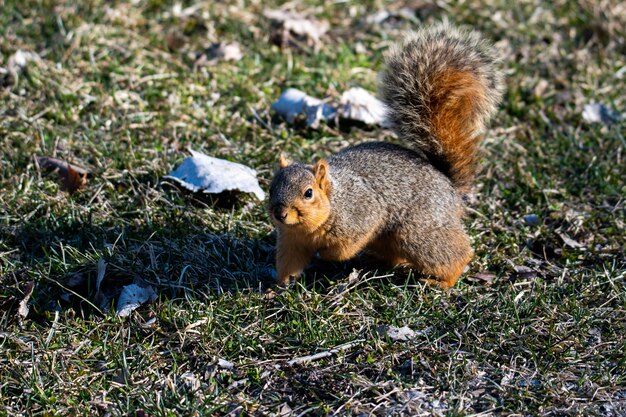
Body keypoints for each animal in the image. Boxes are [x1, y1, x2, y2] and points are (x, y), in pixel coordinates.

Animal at [266, 22, 502, 288]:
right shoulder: (291, 240)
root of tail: (449, 186)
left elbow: (344, 248)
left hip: (418, 231)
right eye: (271, 188)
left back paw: (443, 281)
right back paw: (374, 260)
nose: (279, 213)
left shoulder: (363, 214)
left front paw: (326, 255)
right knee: (396, 257)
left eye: (308, 193)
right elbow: (289, 261)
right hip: (393, 239)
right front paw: (280, 284)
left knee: (454, 254)